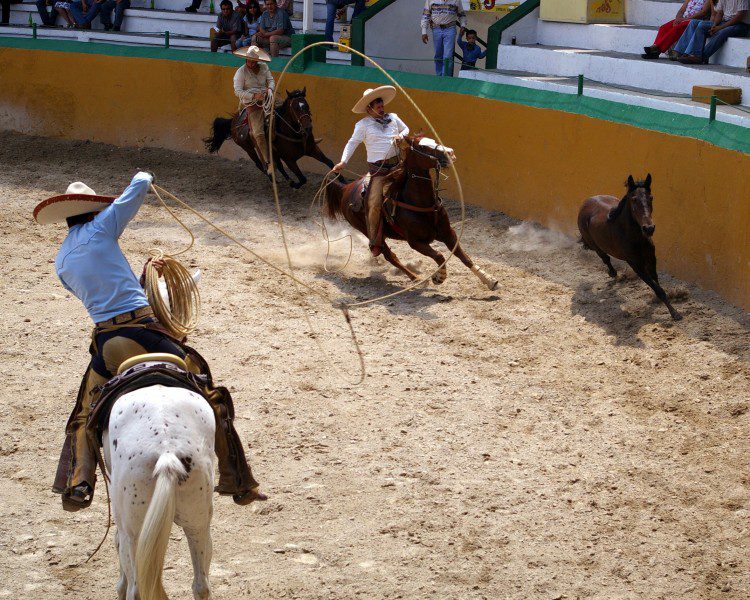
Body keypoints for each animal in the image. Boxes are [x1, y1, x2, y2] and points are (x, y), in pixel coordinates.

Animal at [206, 87, 334, 188]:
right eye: (295, 108)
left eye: (307, 106)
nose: (308, 128)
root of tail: (233, 120)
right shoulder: (289, 159)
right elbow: (303, 179)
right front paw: (294, 184)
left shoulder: (312, 149)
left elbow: (330, 162)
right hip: (249, 149)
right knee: (260, 164)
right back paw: (273, 178)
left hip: (272, 152)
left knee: (278, 166)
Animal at [324, 136, 500, 290]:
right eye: (422, 147)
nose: (450, 153)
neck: (422, 204)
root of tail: (345, 188)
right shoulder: (415, 242)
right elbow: (439, 255)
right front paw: (439, 277)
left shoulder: (448, 233)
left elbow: (463, 257)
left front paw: (490, 280)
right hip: (370, 232)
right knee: (389, 255)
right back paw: (416, 278)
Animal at [580, 173, 684, 322]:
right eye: (634, 199)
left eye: (651, 197)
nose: (649, 228)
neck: (635, 237)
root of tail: (586, 202)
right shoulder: (636, 265)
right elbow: (658, 288)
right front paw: (675, 314)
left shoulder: (651, 259)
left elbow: (657, 283)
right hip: (596, 246)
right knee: (605, 258)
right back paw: (613, 273)